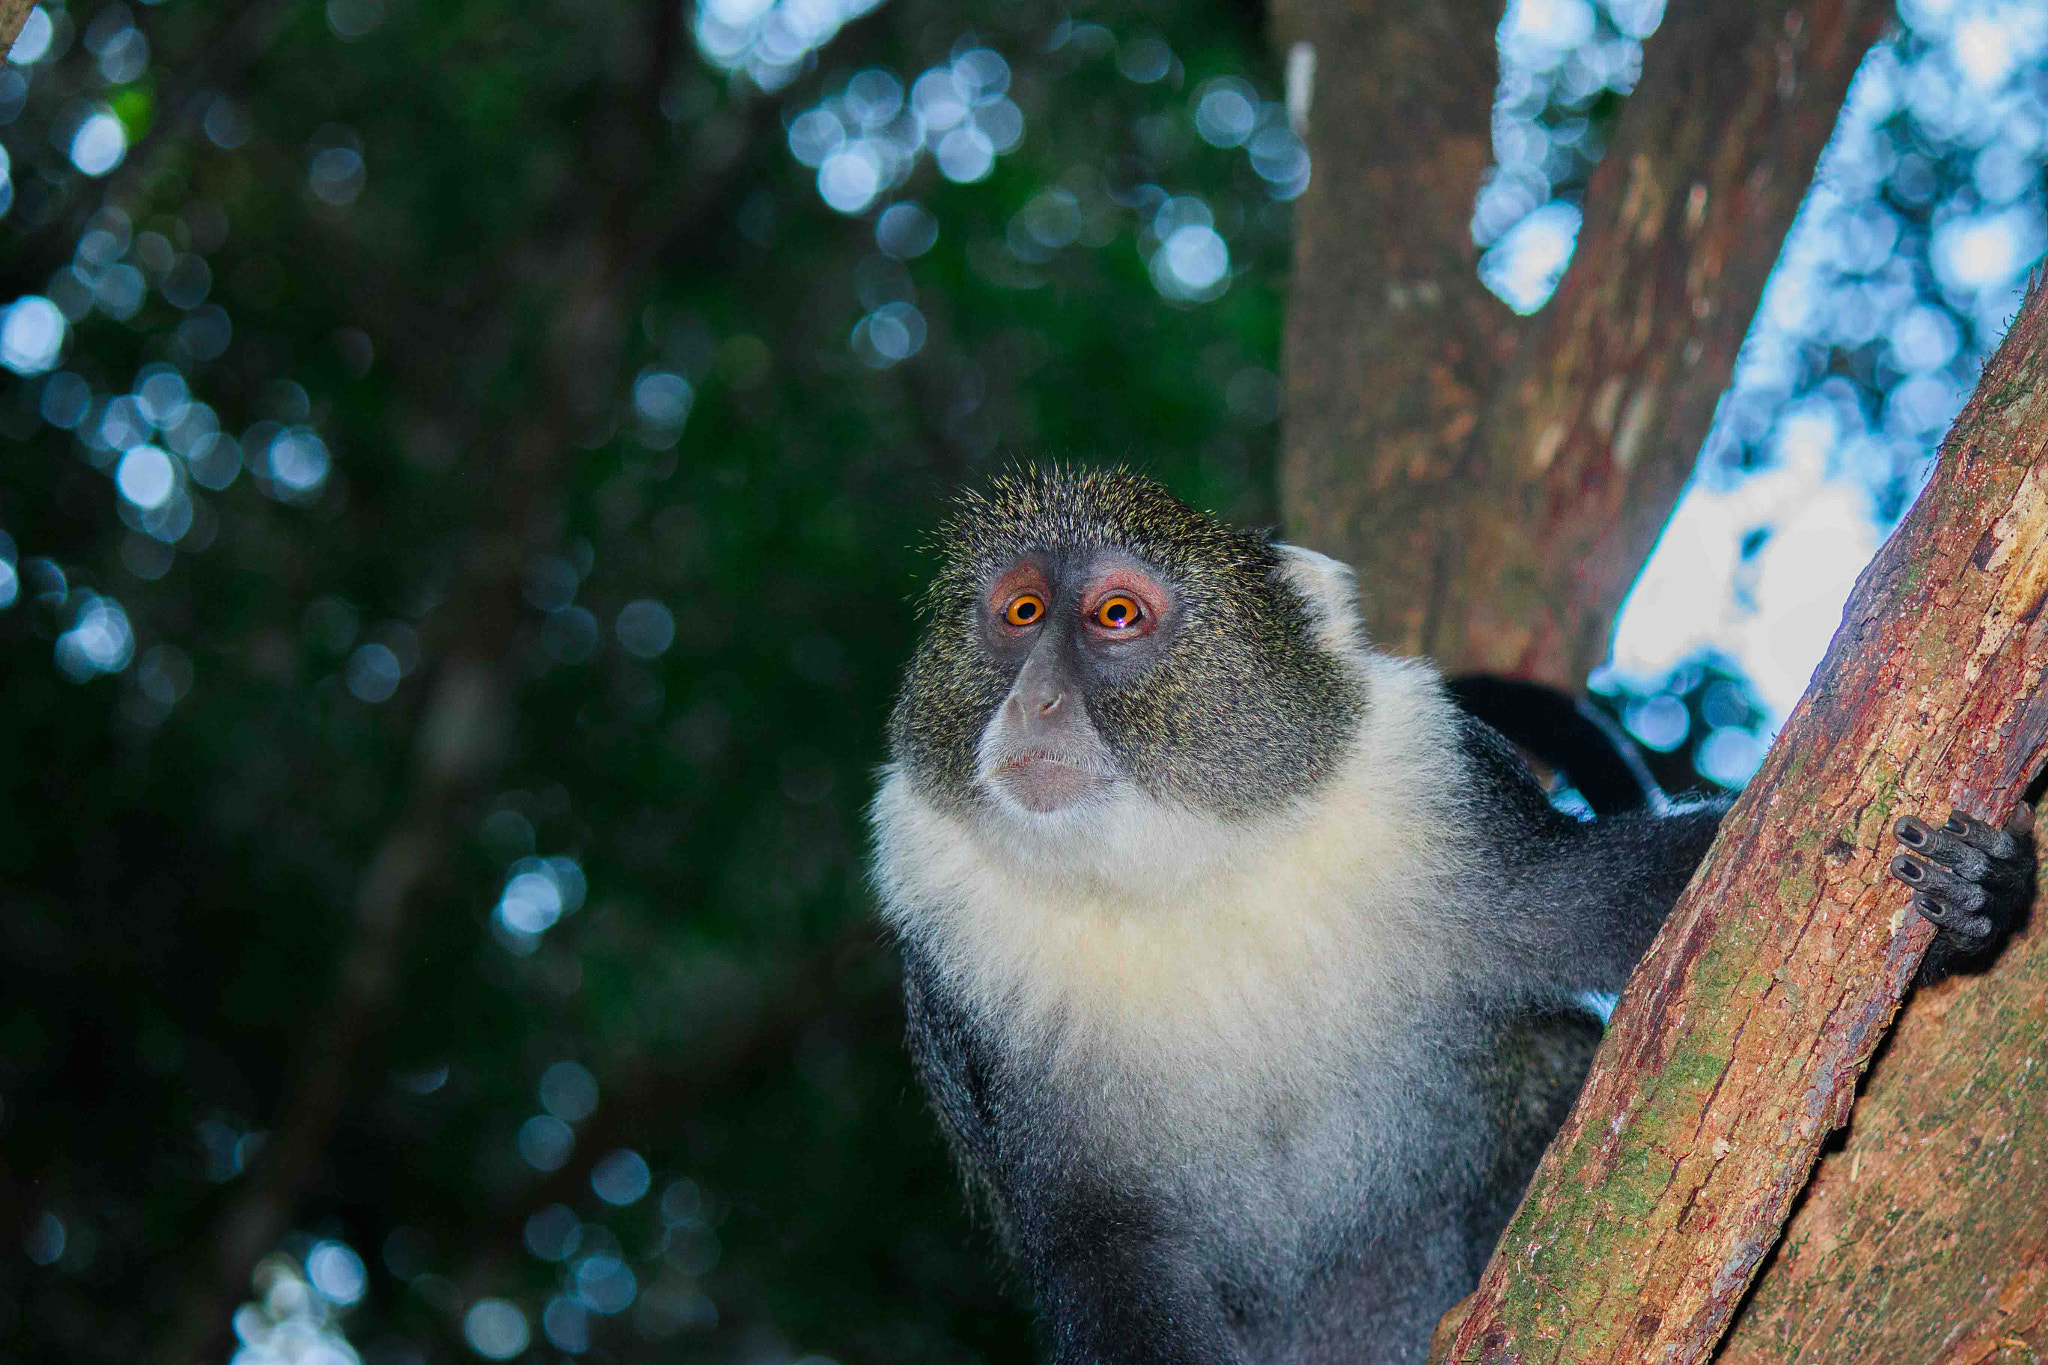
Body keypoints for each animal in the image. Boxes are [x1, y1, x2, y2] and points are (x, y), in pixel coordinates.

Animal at [869, 466, 2032, 1365]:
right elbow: (1101, 1246)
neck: (1177, 870)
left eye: (1116, 616)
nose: (1036, 701)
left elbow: (1650, 911)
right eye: (1021, 613)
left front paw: (1983, 894)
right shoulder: (966, 983)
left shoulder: (1438, 801)